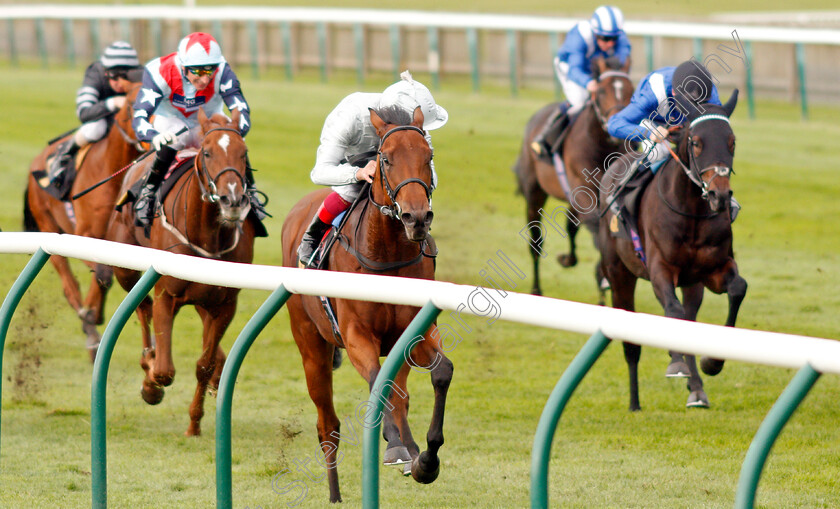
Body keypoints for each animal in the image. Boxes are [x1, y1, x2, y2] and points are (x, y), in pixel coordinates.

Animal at [23, 83, 144, 360]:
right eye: (132, 104)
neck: (113, 172)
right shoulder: (86, 236)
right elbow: (103, 274)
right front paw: (91, 317)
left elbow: (105, 276)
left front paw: (94, 313)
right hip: (48, 226)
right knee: (69, 287)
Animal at [106, 109, 256, 434]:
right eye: (208, 152)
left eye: (243, 153)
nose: (232, 200)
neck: (208, 236)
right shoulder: (167, 295)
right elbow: (164, 370)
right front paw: (150, 384)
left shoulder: (225, 305)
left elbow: (204, 365)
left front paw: (194, 424)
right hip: (125, 269)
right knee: (143, 307)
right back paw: (148, 360)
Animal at [280, 105, 452, 502]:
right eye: (385, 159)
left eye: (428, 156)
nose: (416, 218)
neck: (386, 255)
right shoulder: (357, 335)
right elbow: (378, 383)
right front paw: (396, 445)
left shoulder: (415, 334)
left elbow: (441, 372)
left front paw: (426, 459)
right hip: (311, 346)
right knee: (327, 424)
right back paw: (336, 492)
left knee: (400, 395)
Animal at [516, 55, 632, 294]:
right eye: (602, 91)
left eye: (631, 90)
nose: (616, 127)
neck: (601, 146)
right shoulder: (583, 188)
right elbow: (596, 227)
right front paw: (604, 277)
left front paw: (601, 276)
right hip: (535, 192)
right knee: (535, 240)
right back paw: (536, 288)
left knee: (571, 227)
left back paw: (569, 259)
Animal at [596, 90, 748, 408]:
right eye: (696, 142)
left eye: (732, 141)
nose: (719, 195)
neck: (691, 213)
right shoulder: (660, 269)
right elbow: (672, 311)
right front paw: (676, 362)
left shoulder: (713, 270)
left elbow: (737, 288)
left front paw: (712, 362)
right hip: (619, 273)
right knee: (634, 339)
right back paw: (635, 402)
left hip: (693, 284)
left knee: (688, 315)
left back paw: (697, 390)